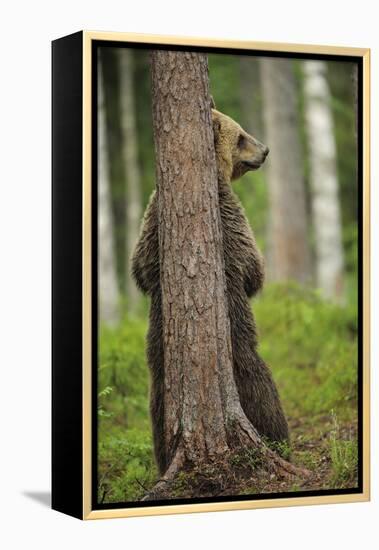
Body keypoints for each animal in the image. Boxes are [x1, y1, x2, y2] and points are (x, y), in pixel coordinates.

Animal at [132, 105, 290, 476]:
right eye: (242, 136)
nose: (265, 151)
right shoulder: (230, 215)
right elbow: (252, 268)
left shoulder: (150, 220)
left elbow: (140, 269)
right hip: (241, 352)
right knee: (262, 389)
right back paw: (280, 441)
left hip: (158, 374)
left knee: (157, 412)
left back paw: (164, 458)